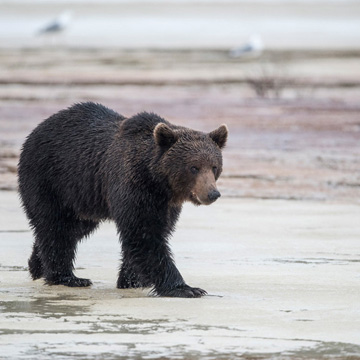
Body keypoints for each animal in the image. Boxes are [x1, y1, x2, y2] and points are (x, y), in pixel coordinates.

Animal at [17, 102, 228, 298]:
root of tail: (36, 130)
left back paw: (37, 266)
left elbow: (155, 231)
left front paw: (131, 280)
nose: (212, 193)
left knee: (72, 228)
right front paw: (186, 288)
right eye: (193, 167)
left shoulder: (166, 204)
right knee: (56, 227)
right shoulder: (133, 186)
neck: (157, 181)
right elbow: (143, 235)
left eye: (214, 166)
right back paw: (67, 277)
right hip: (50, 179)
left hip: (84, 197)